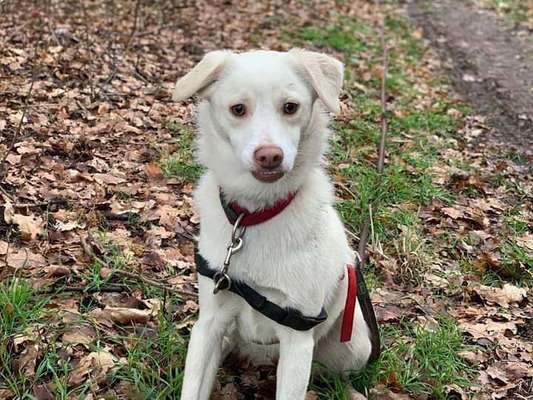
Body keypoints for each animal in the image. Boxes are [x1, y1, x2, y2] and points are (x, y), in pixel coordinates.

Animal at [172, 50, 376, 400]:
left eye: (290, 107)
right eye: (238, 109)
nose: (269, 156)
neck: (254, 215)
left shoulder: (298, 339)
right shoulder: (209, 323)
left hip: (352, 346)